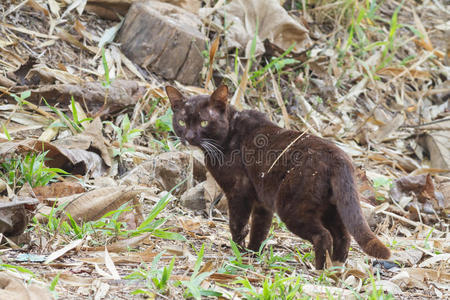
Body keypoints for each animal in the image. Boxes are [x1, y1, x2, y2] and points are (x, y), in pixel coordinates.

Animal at [165, 84, 390, 270]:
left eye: (204, 122)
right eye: (182, 121)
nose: (189, 137)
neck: (227, 135)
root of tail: (338, 157)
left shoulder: (239, 191)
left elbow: (237, 224)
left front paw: (238, 252)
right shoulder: (262, 202)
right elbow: (260, 229)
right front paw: (252, 254)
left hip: (292, 206)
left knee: (323, 235)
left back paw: (320, 269)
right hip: (332, 206)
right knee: (343, 235)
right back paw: (336, 268)